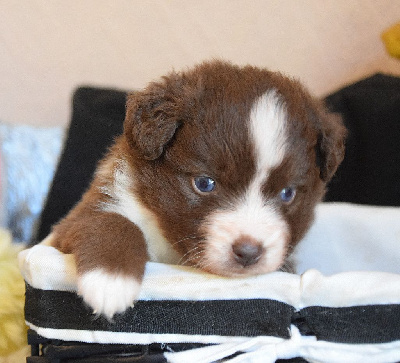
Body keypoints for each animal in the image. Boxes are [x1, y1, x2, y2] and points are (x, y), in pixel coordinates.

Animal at [49, 61, 344, 320]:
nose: (248, 253)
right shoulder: (74, 223)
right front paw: (110, 280)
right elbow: (114, 221)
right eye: (204, 183)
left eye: (287, 193)